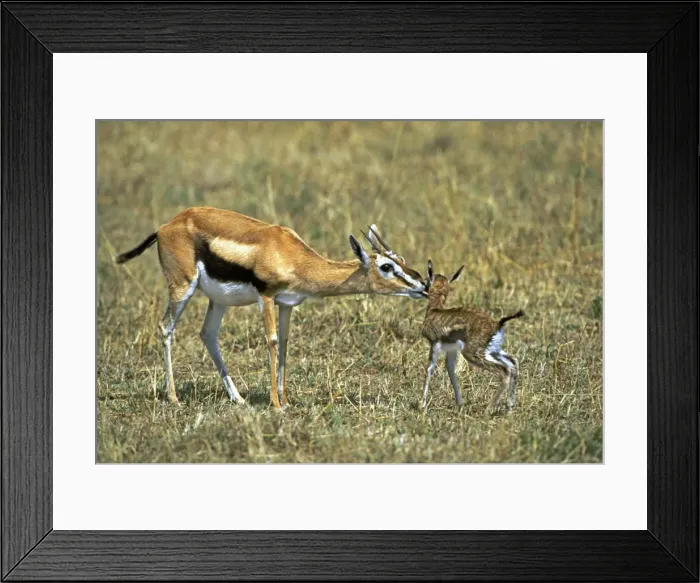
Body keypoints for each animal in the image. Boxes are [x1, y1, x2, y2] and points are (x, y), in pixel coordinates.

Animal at [114, 206, 428, 409]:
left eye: (400, 259)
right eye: (386, 267)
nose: (423, 284)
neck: (293, 256)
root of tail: (166, 226)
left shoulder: (287, 303)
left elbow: (286, 343)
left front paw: (286, 400)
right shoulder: (265, 296)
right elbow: (272, 341)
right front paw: (276, 404)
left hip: (218, 301)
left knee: (208, 334)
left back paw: (238, 398)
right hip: (181, 287)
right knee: (165, 327)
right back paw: (174, 398)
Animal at [420, 259, 523, 413]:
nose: (422, 285)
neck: (434, 311)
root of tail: (497, 323)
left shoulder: (435, 344)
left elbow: (429, 369)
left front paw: (422, 405)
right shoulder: (452, 350)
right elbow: (450, 370)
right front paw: (460, 404)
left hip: (473, 354)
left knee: (504, 371)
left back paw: (489, 409)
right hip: (492, 351)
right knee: (513, 362)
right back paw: (509, 407)